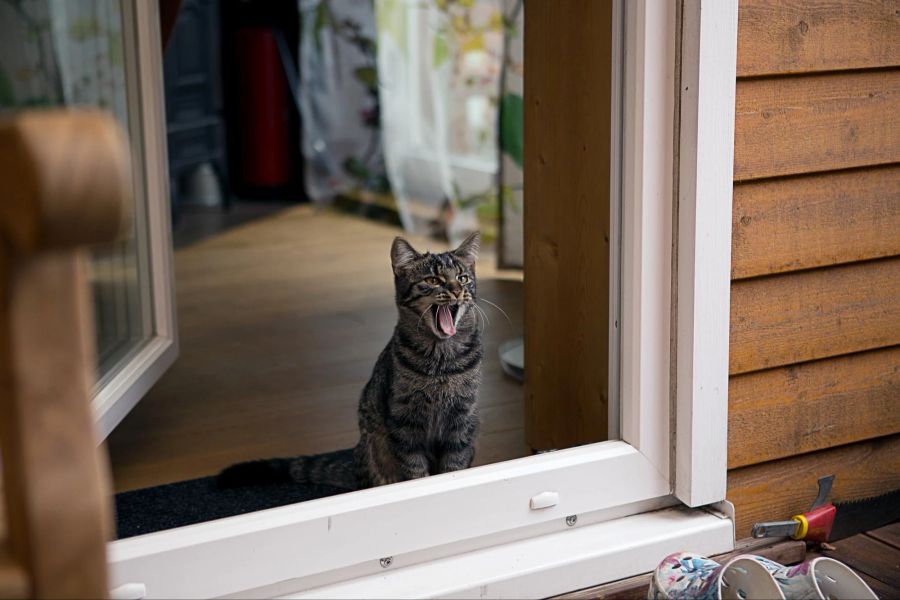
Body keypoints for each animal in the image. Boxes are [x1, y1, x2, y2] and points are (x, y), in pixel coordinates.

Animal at [217, 232, 482, 490]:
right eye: (433, 280)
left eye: (463, 278)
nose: (457, 290)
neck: (442, 361)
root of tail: (356, 460)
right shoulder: (404, 422)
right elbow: (415, 470)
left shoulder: (462, 420)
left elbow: (454, 466)